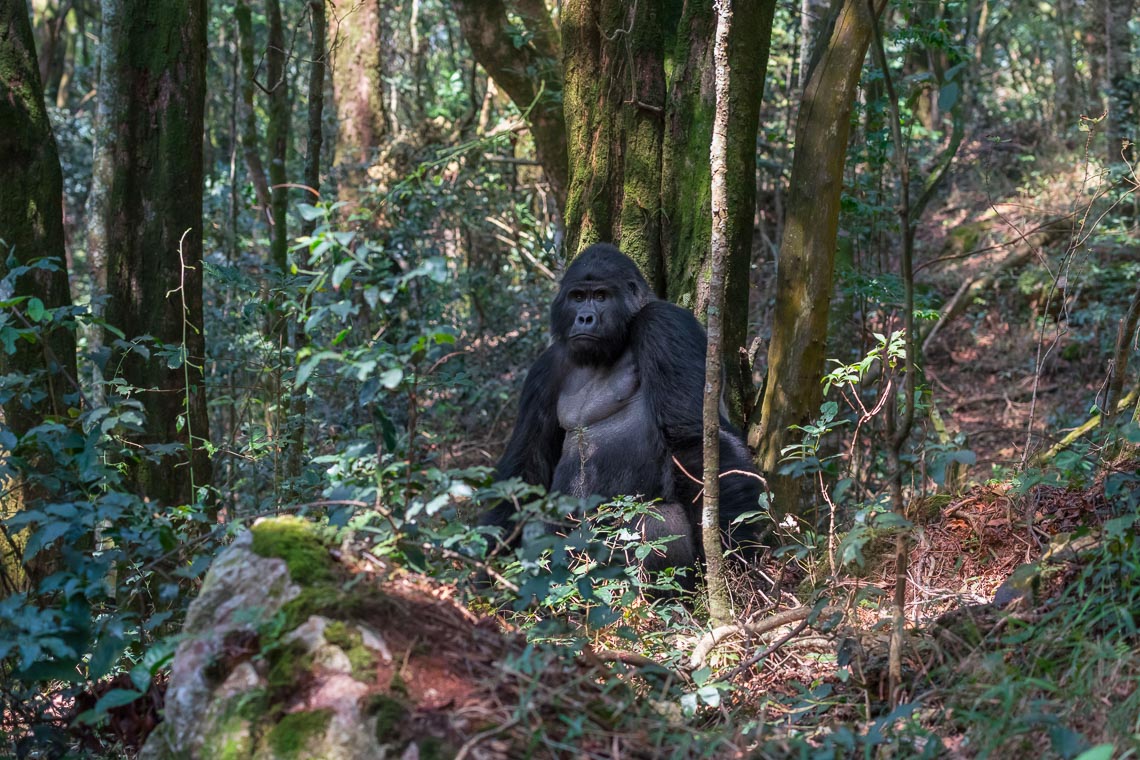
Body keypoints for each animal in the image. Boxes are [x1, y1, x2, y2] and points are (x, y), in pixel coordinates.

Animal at [483, 243, 766, 583]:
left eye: (601, 296)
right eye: (577, 297)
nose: (585, 318)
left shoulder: (664, 322)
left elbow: (692, 437)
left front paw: (737, 556)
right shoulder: (546, 367)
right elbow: (528, 463)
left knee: (658, 524)